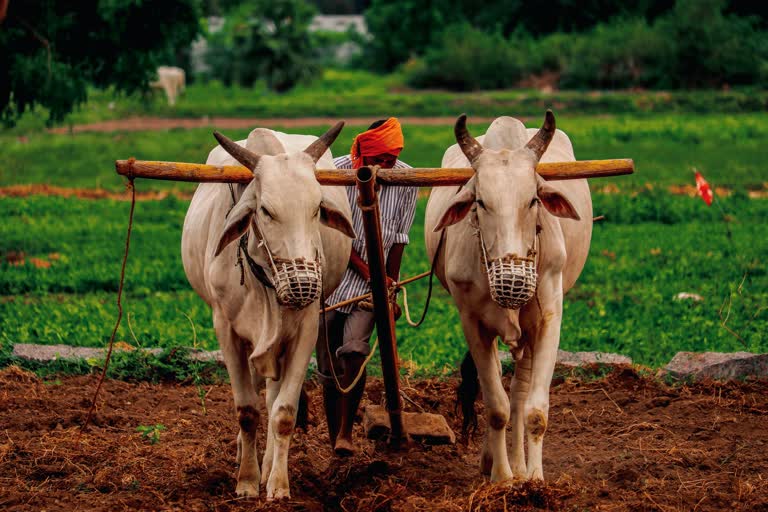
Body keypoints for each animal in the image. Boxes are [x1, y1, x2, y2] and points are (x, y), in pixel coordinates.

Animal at [182, 122, 356, 498]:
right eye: (266, 210)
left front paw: (276, 483)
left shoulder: (305, 329)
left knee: (273, 395)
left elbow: (284, 412)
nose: (304, 284)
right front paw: (246, 481)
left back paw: (267, 464)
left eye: (317, 208)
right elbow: (247, 410)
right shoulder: (226, 331)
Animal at [424, 112, 592, 484]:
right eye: (480, 201)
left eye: (533, 200)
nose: (512, 280)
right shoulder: (472, 323)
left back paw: (520, 466)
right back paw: (496, 463)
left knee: (519, 393)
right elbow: (496, 408)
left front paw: (533, 480)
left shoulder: (548, 318)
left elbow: (534, 410)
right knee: (501, 394)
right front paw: (501, 479)